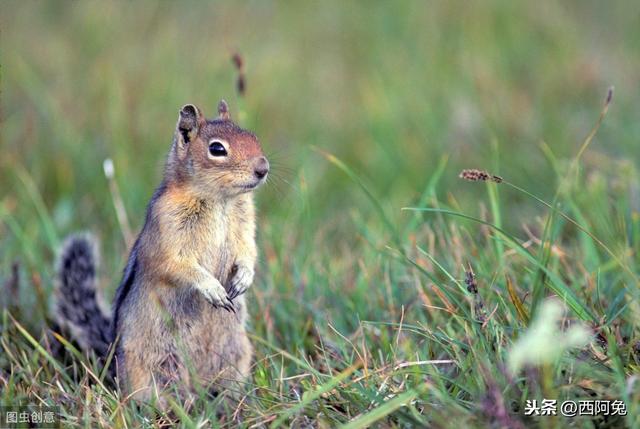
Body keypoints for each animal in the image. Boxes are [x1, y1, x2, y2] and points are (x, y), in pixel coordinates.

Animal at [52, 100, 268, 402]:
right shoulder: (167, 232)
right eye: (217, 149)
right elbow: (177, 266)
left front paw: (243, 280)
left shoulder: (245, 227)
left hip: (235, 351)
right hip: (159, 364)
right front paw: (212, 288)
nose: (263, 168)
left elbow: (248, 252)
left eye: (253, 136)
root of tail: (111, 358)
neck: (220, 200)